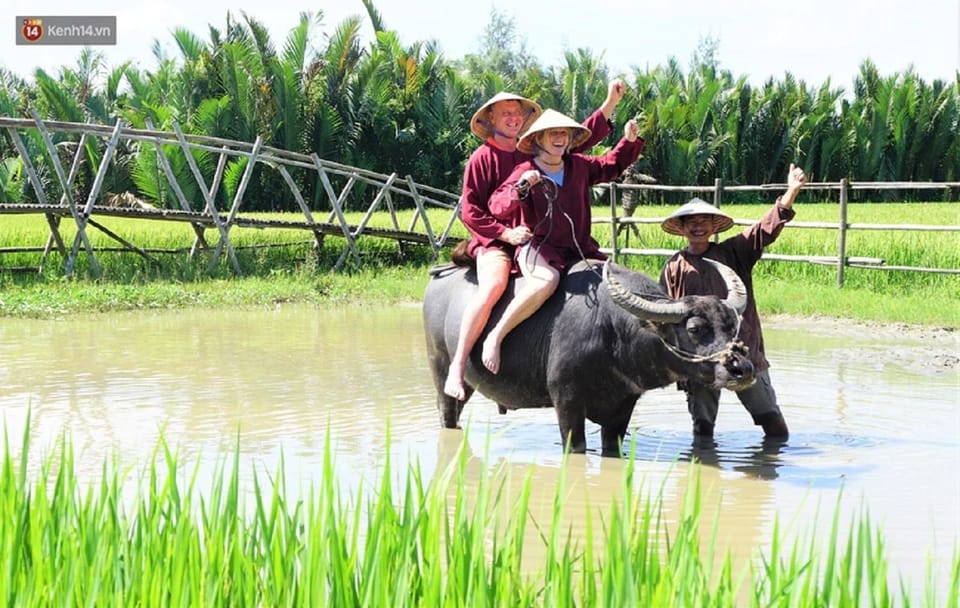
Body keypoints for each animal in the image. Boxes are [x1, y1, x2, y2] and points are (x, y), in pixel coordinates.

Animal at [424, 260, 752, 456]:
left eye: (732, 324)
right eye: (694, 329)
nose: (742, 369)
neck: (611, 331)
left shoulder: (623, 405)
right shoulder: (567, 402)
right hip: (440, 368)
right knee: (447, 414)